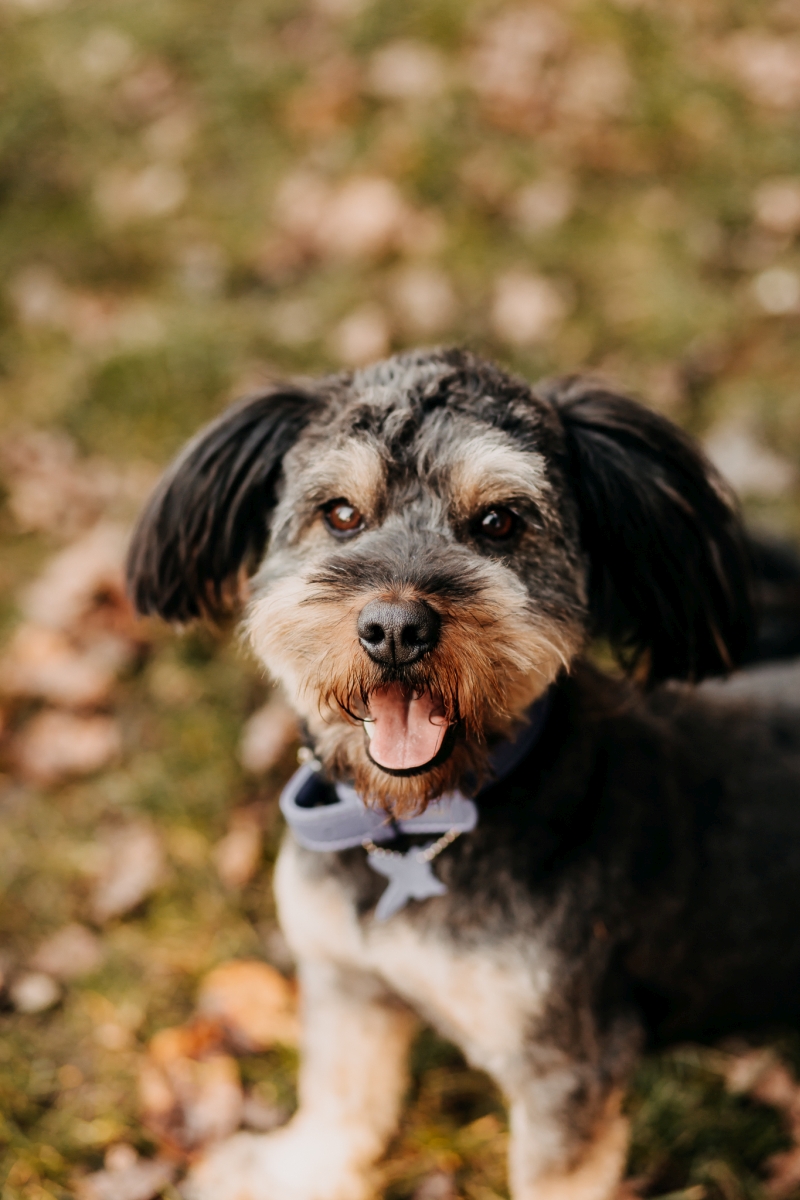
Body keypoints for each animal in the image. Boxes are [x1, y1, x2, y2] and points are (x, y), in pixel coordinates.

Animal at [127, 348, 800, 1200]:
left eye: (499, 523)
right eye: (341, 514)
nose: (395, 629)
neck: (415, 827)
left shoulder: (569, 1065)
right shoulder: (346, 980)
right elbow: (341, 1093)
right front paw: (297, 1172)